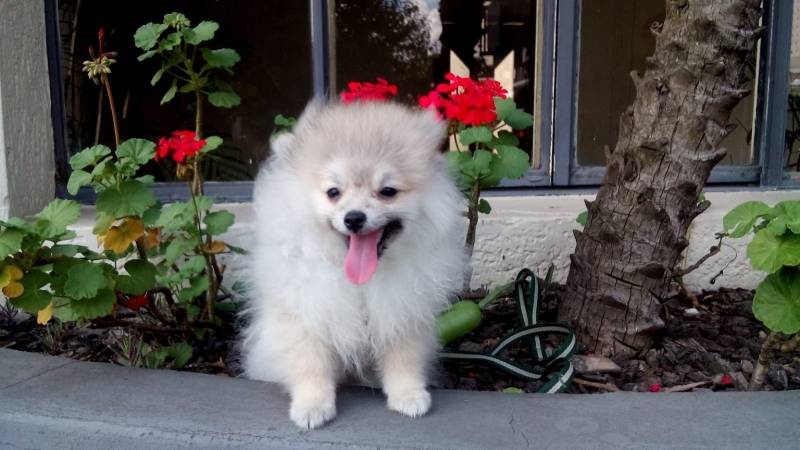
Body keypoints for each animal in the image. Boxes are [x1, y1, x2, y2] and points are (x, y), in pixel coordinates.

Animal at [242, 100, 468, 428]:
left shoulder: (403, 310)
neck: (360, 281)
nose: (354, 218)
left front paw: (408, 395)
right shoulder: (307, 313)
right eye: (333, 192)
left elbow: (404, 359)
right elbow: (311, 364)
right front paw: (312, 405)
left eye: (387, 191)